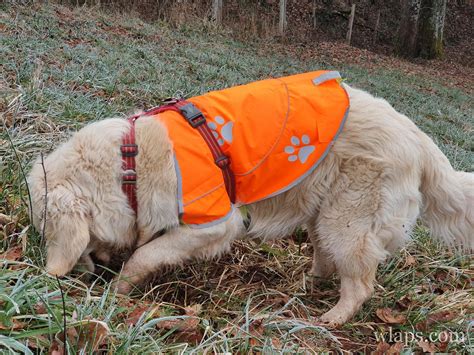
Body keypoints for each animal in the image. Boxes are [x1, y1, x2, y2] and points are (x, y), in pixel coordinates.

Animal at [27, 82, 472, 326]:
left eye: (48, 234)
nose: (85, 276)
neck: (129, 162)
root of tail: (421, 140)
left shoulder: (213, 223)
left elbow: (146, 254)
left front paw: (118, 291)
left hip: (348, 221)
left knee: (360, 283)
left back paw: (332, 318)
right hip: (323, 211)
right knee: (326, 258)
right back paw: (308, 284)